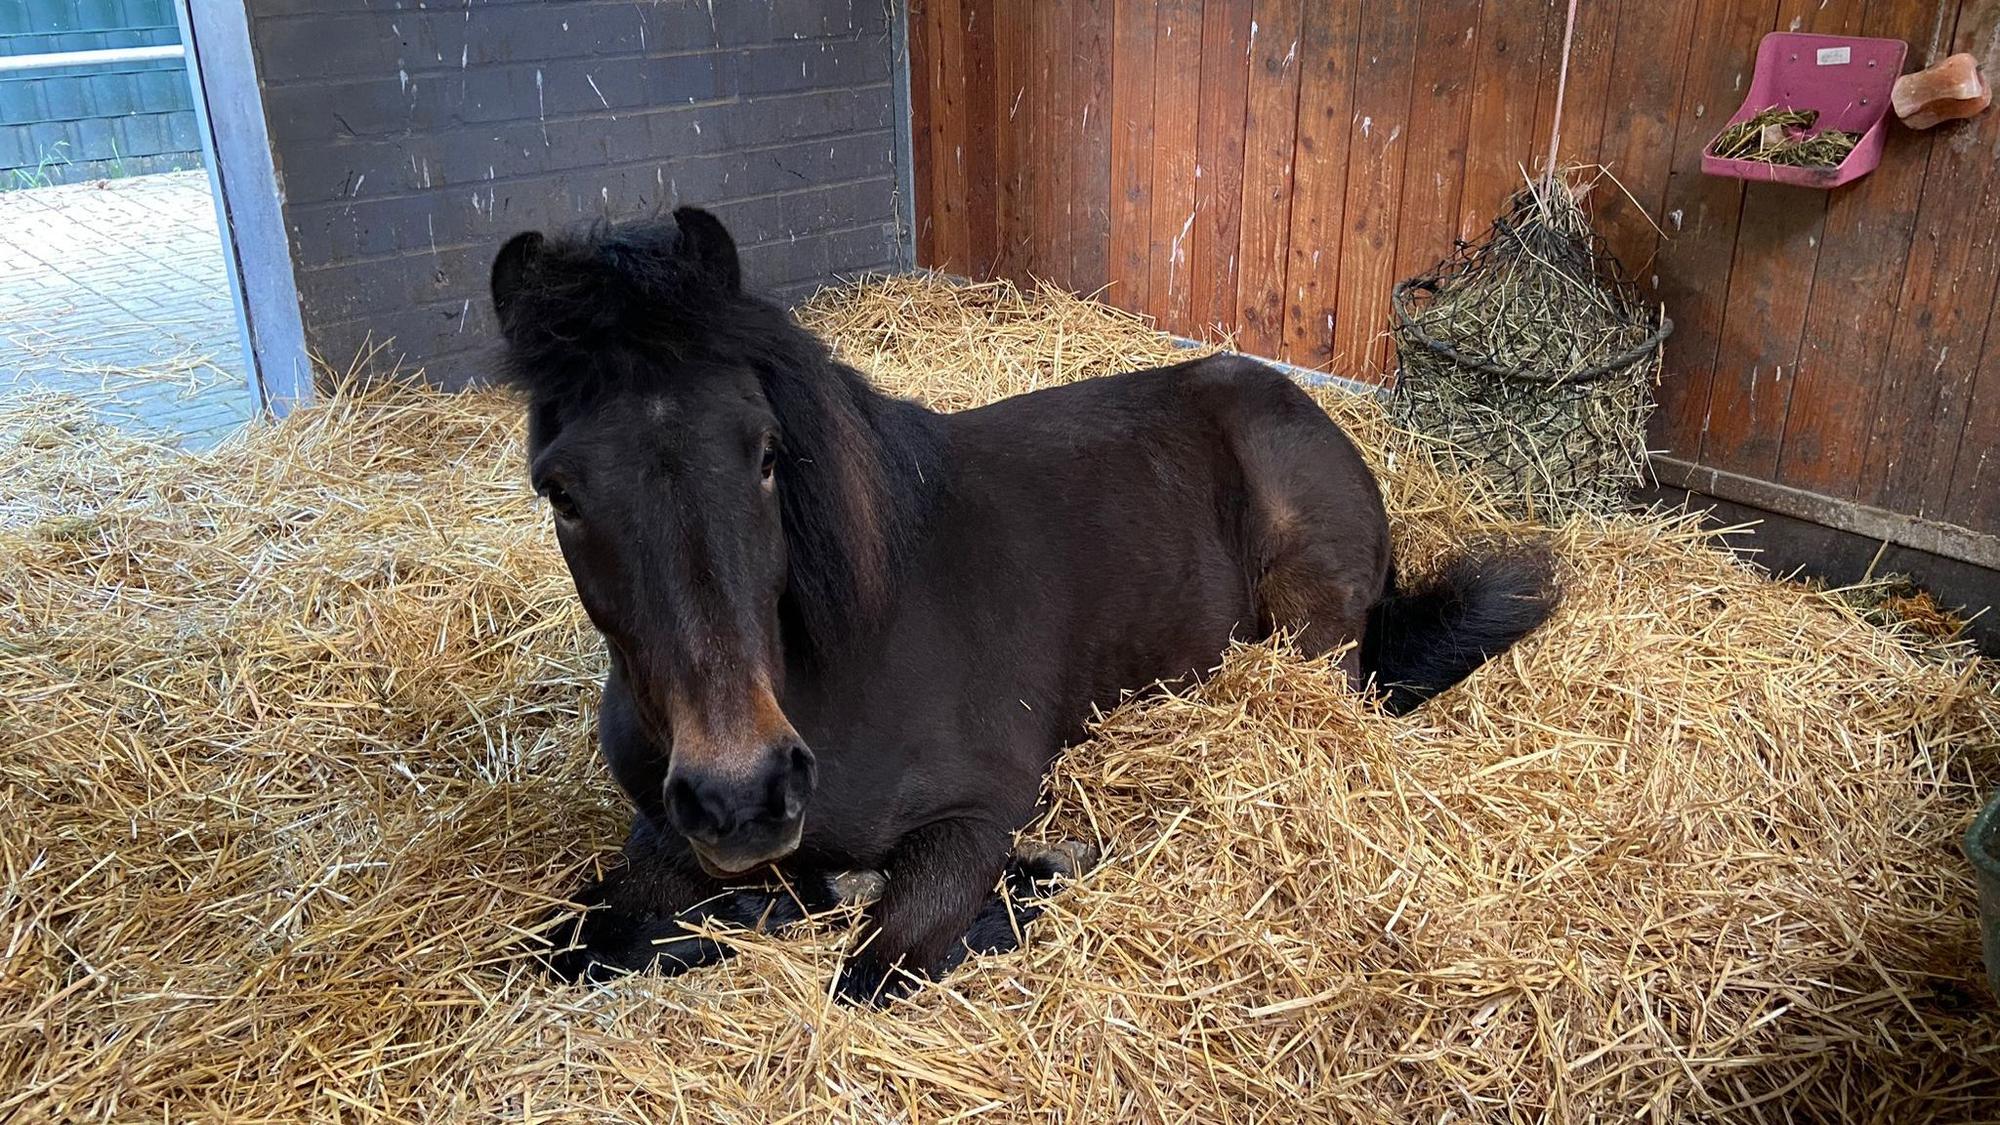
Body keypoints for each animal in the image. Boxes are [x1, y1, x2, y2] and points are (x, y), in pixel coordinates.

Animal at [490, 208, 1558, 1005]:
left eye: (763, 453)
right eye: (561, 491)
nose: (743, 795)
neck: (835, 664)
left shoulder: (976, 814)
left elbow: (875, 967)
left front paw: (1032, 880)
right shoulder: (664, 834)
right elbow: (572, 942)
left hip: (1309, 631)